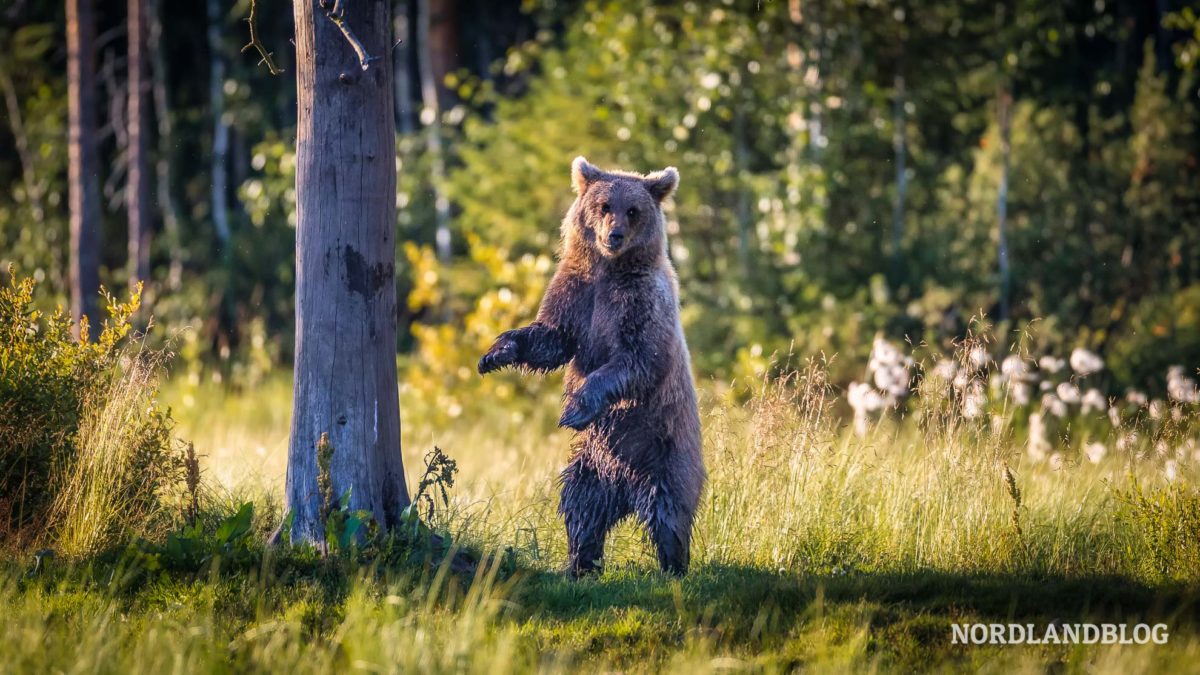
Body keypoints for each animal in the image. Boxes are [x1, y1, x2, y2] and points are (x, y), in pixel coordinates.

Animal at [475, 156, 700, 571]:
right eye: (604, 205)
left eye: (633, 210)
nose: (615, 236)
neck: (609, 270)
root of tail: (626, 491)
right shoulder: (577, 293)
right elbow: (551, 337)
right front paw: (496, 353)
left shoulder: (639, 304)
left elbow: (637, 360)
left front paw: (574, 409)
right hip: (594, 464)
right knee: (581, 506)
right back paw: (581, 562)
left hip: (665, 453)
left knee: (668, 512)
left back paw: (673, 565)